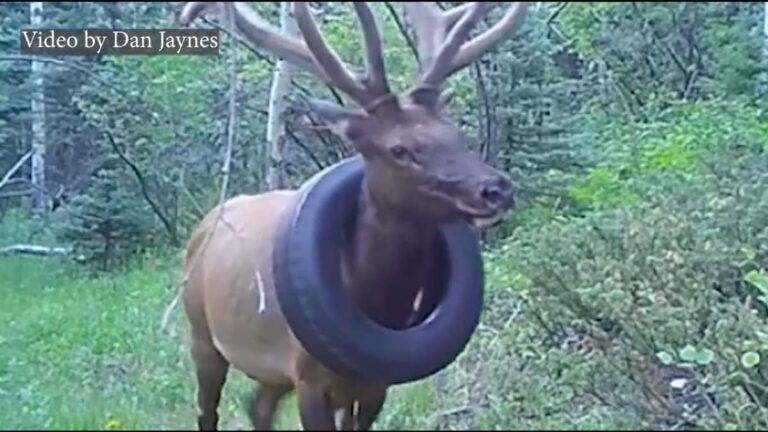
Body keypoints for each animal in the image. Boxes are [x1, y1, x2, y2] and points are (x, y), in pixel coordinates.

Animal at [177, 2, 529, 430]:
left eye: (455, 135)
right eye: (399, 150)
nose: (496, 189)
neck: (376, 302)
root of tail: (204, 224)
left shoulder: (374, 385)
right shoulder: (309, 377)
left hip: (271, 371)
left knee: (257, 407)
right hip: (201, 332)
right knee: (207, 408)